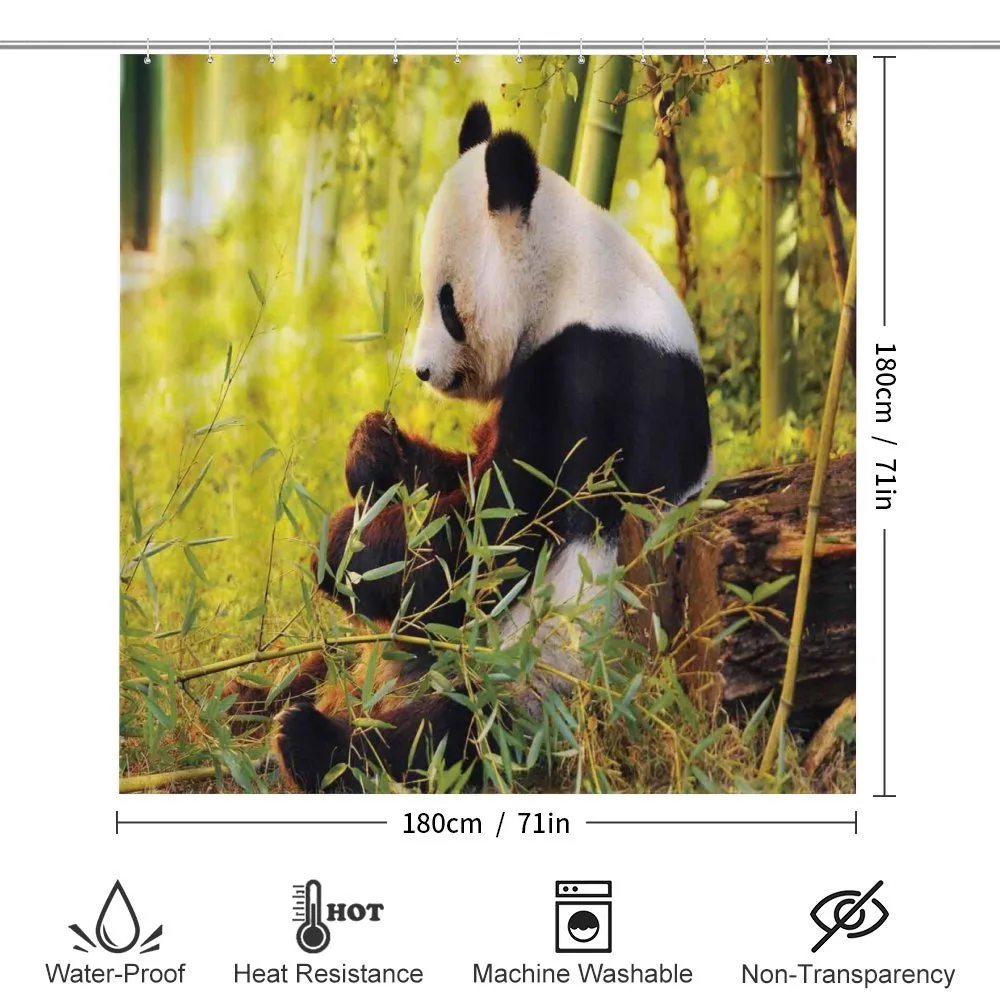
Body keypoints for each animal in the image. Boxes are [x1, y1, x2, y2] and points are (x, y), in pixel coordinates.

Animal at [271, 101, 712, 792]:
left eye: (447, 302)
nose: (422, 371)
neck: (574, 277)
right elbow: (461, 473)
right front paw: (372, 449)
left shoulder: (598, 374)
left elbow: (495, 538)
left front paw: (344, 546)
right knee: (328, 667)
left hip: (545, 677)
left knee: (452, 738)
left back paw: (313, 743)